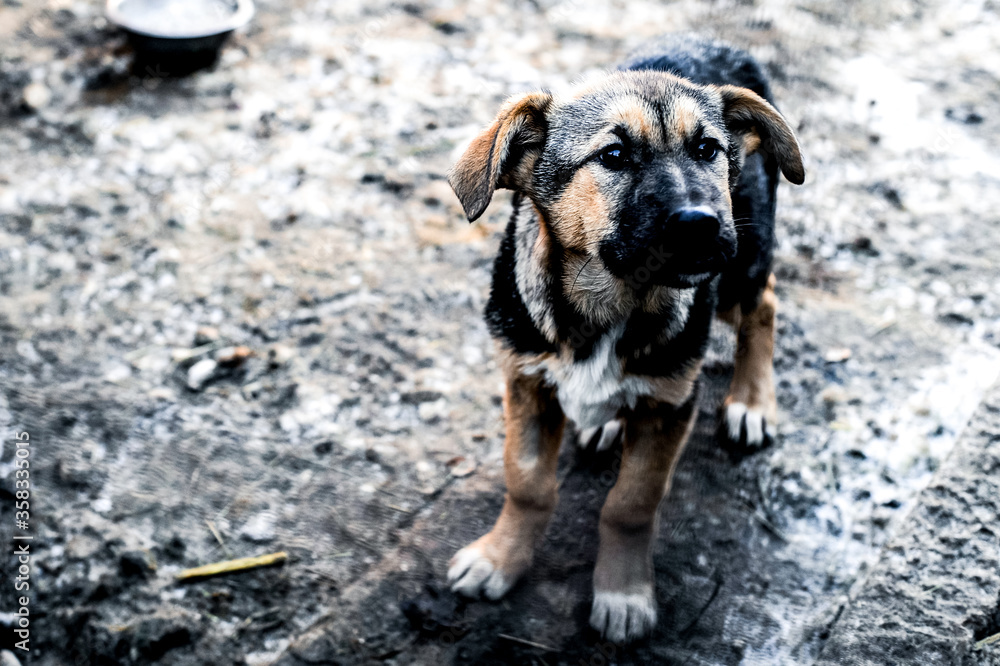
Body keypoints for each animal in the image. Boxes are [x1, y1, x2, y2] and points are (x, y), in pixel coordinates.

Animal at [446, 33, 804, 640]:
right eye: (613, 156)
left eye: (707, 149)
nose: (701, 223)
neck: (613, 303)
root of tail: (714, 39)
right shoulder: (526, 382)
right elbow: (527, 483)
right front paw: (499, 558)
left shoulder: (669, 403)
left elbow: (631, 504)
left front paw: (623, 594)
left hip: (742, 259)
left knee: (765, 301)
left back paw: (752, 402)